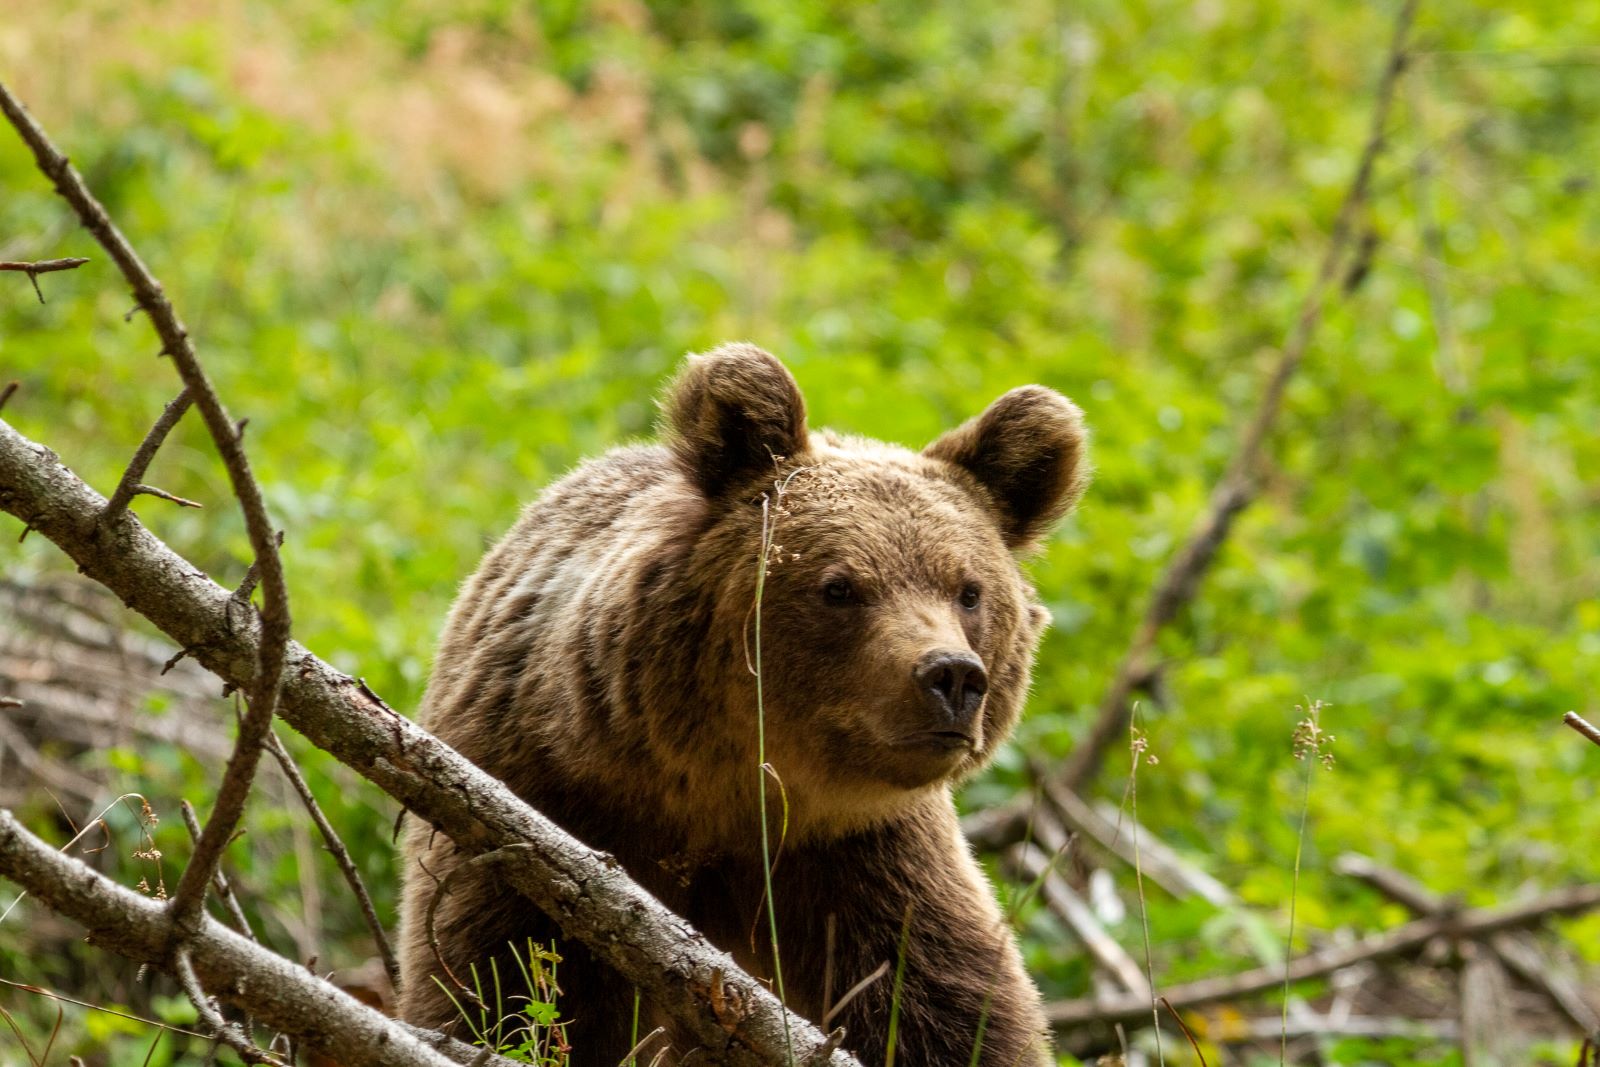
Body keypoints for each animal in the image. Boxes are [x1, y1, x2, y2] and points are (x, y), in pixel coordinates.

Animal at [398, 343, 1088, 1067]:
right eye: (840, 587)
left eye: (969, 590)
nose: (951, 675)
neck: (723, 789)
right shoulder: (540, 817)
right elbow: (505, 987)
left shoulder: (866, 861)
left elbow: (946, 1007)